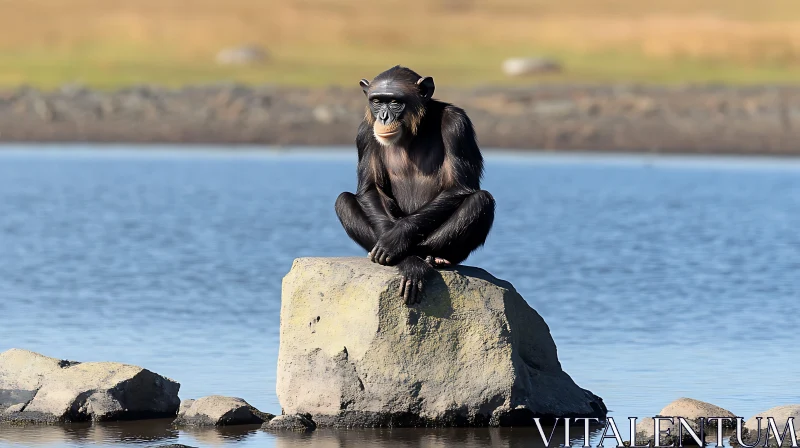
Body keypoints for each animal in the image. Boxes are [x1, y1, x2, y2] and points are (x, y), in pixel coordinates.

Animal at [332, 65, 494, 304]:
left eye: (395, 102)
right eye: (377, 101)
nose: (383, 116)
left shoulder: (458, 124)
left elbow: (459, 186)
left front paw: (396, 239)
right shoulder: (364, 132)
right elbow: (370, 188)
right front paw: (391, 245)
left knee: (481, 201)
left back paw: (430, 258)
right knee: (343, 200)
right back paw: (407, 260)